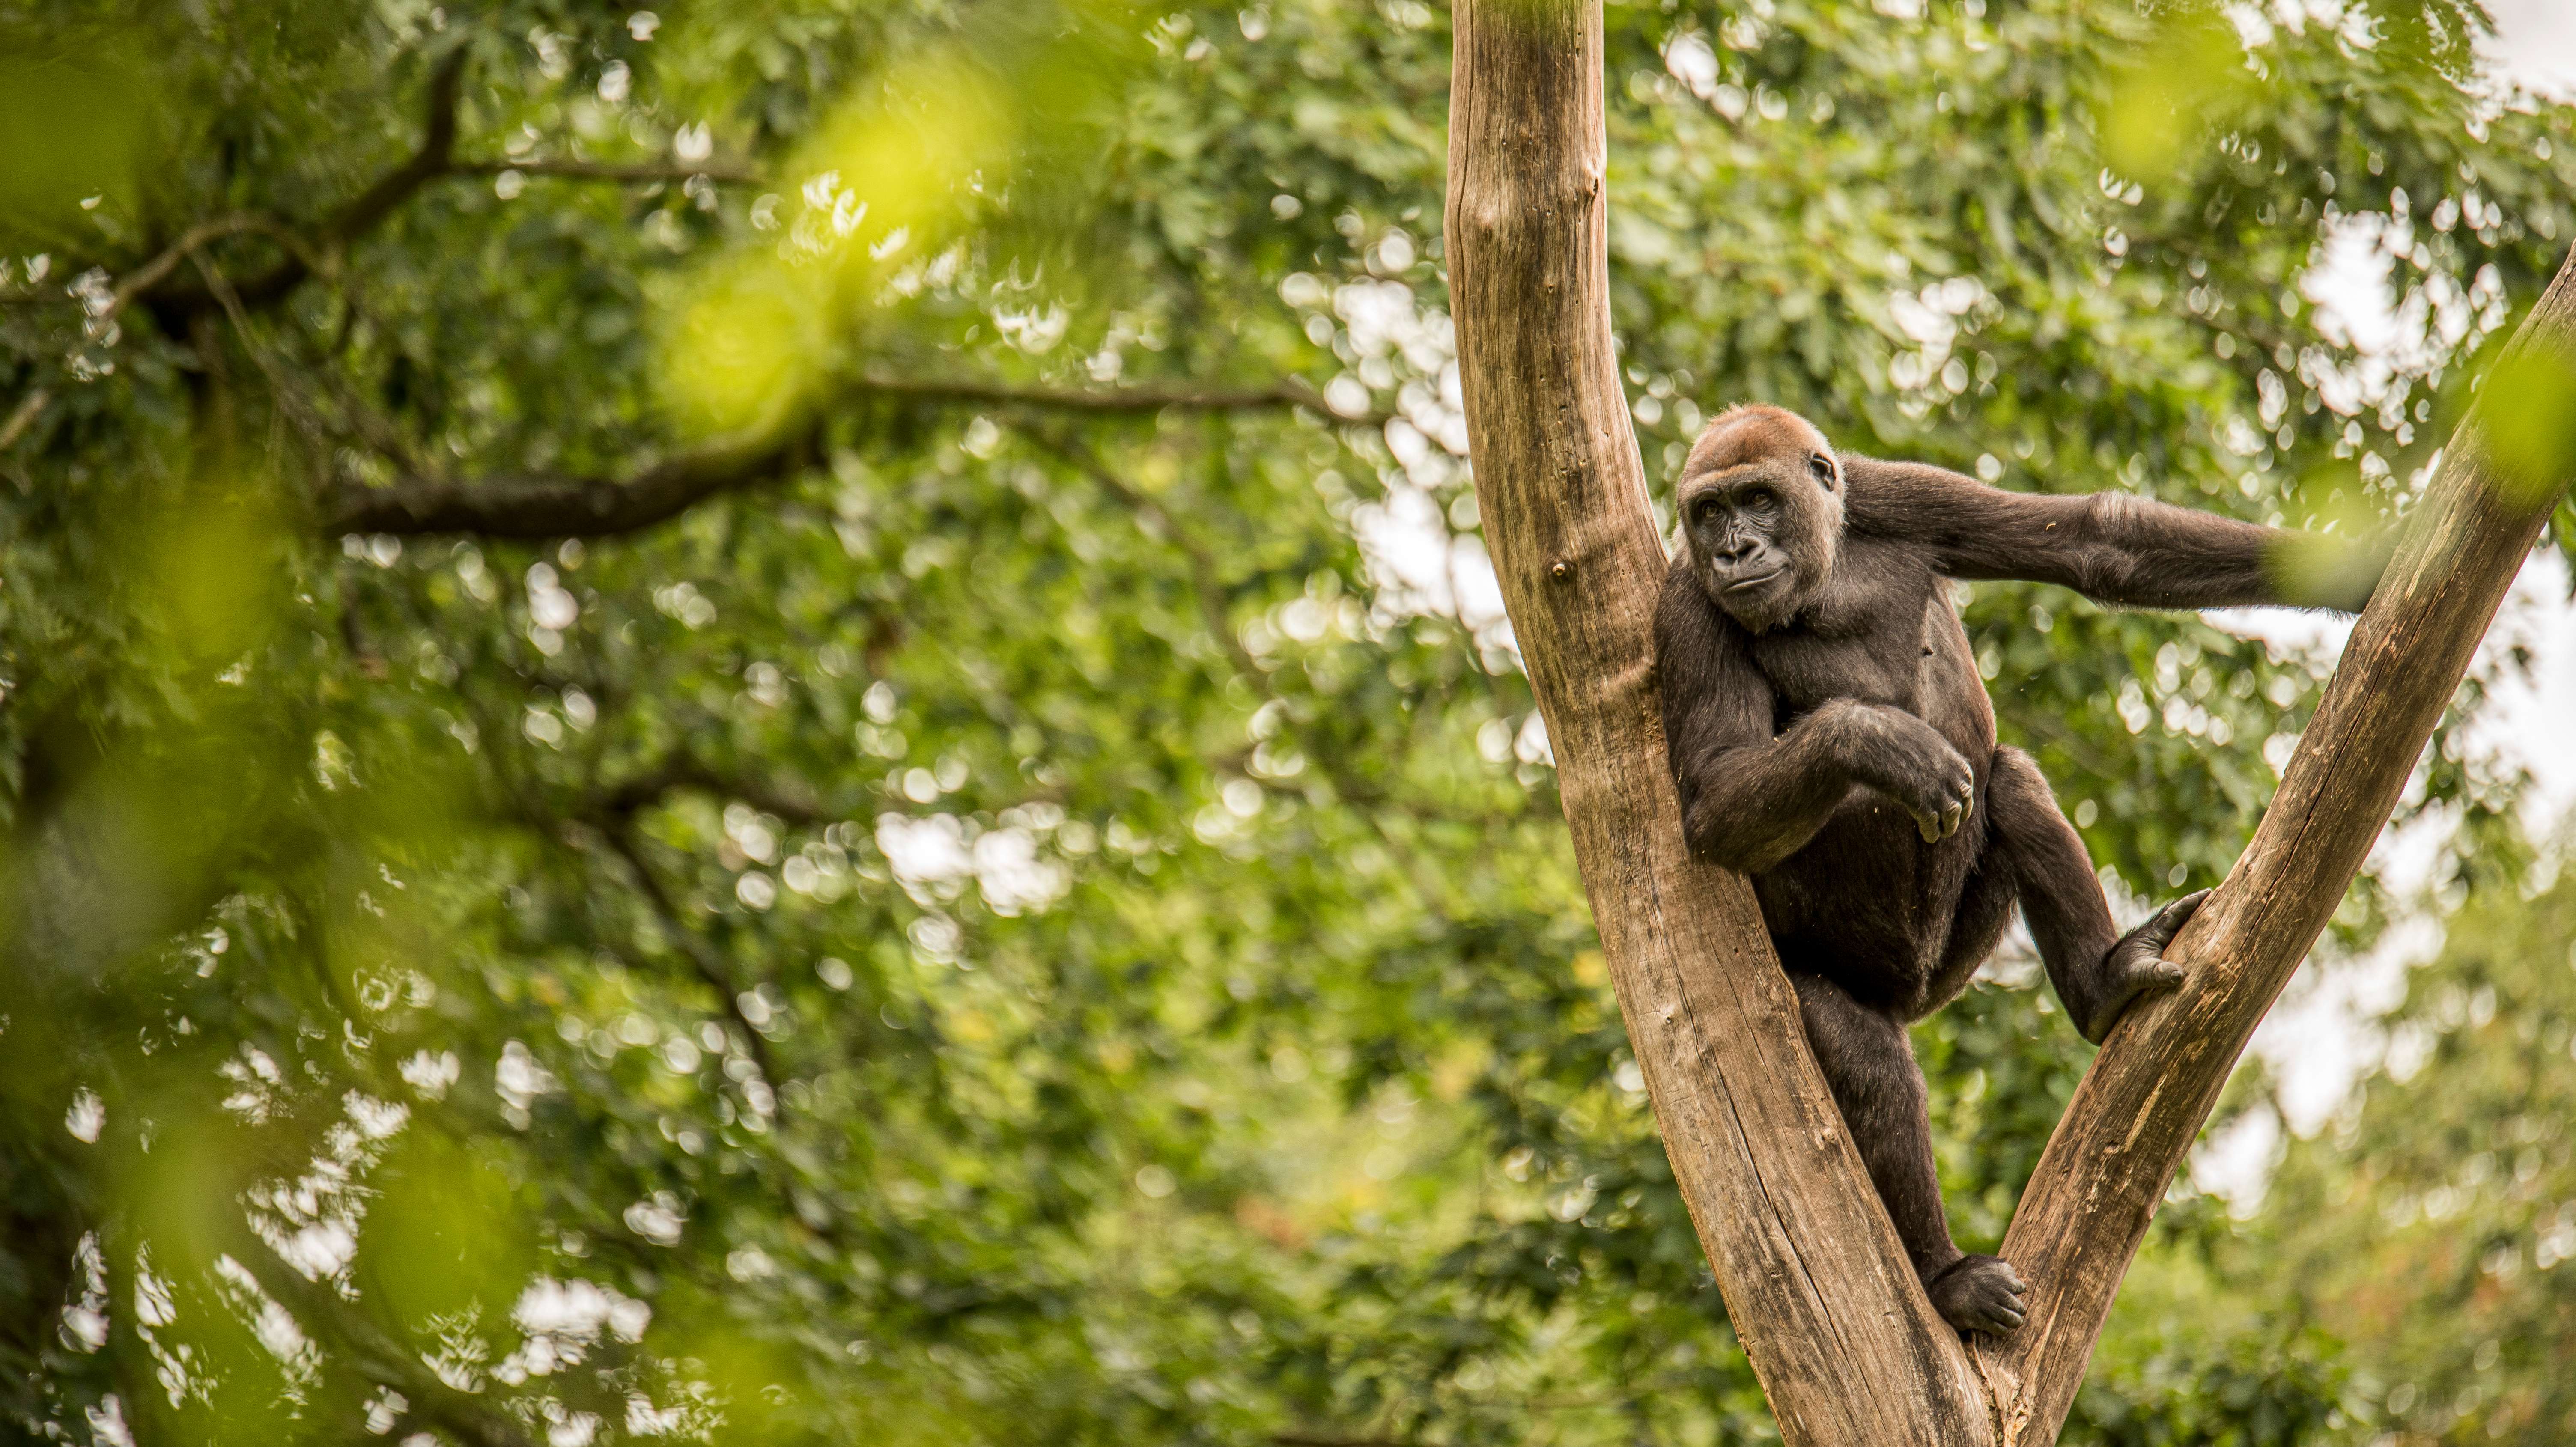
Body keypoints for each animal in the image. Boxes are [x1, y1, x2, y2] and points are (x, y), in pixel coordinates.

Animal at [1651, 404, 2380, 1337]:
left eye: (1756, 500)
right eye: (1707, 514)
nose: (1734, 551)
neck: (1822, 573)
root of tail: (1916, 991)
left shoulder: (1891, 492)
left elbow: (2099, 542)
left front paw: (2371, 564)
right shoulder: (1684, 603)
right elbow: (1713, 799)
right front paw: (1878, 741)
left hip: (1954, 961)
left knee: (2012, 780)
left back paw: (2103, 985)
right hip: (1877, 986)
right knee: (1859, 1044)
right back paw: (1943, 1277)